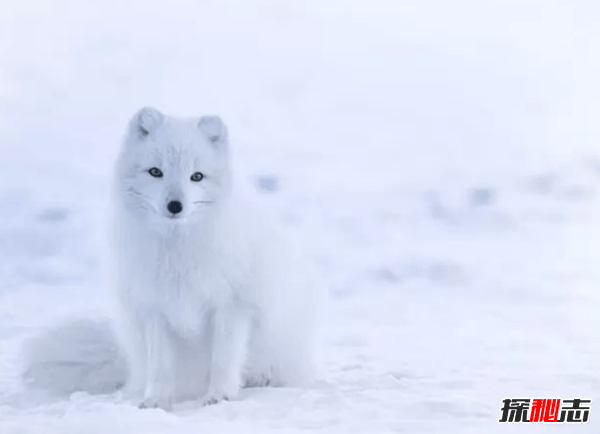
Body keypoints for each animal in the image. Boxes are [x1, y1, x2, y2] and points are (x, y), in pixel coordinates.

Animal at [22, 107, 318, 408]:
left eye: (196, 176)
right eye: (156, 172)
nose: (175, 205)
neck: (177, 251)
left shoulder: (231, 305)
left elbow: (224, 359)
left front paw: (219, 395)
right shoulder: (155, 308)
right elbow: (161, 365)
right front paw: (156, 400)